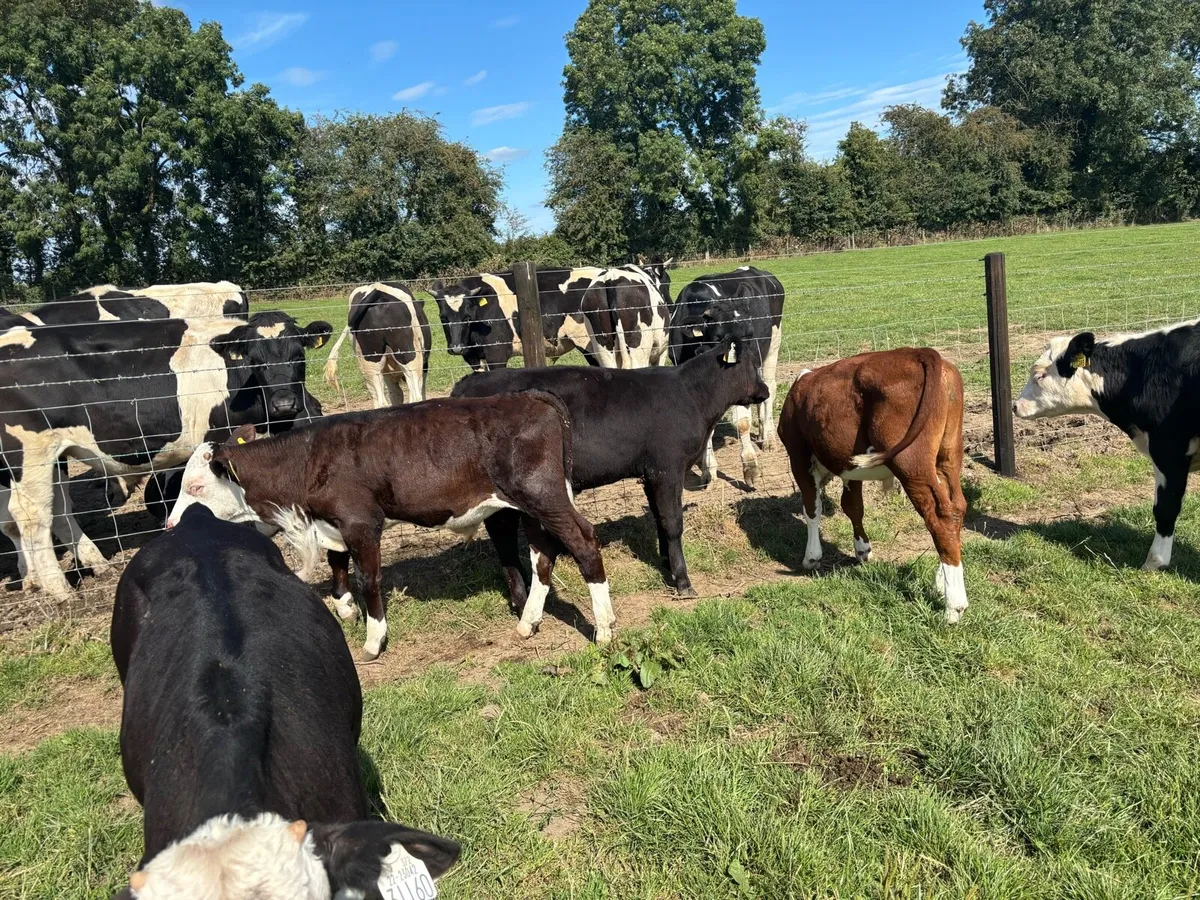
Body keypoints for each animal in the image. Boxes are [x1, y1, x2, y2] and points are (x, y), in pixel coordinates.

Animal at [0, 310, 331, 598]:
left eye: (298, 355)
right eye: (255, 359)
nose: (285, 403)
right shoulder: (215, 436)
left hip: (56, 456)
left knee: (58, 509)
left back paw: (96, 564)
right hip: (31, 453)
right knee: (32, 516)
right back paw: (59, 590)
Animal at [165, 393, 615, 659]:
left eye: (196, 485)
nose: (171, 524)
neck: (306, 462)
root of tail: (531, 396)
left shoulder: (361, 522)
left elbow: (369, 579)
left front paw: (372, 638)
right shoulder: (335, 522)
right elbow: (338, 564)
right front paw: (345, 607)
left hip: (544, 495)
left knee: (583, 541)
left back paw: (606, 630)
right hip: (529, 503)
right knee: (543, 554)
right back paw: (528, 623)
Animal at [452, 326, 768, 604]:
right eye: (754, 364)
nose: (765, 391)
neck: (692, 394)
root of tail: (467, 383)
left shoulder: (649, 473)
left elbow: (658, 518)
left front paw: (665, 562)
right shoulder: (667, 469)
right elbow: (672, 523)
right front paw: (682, 581)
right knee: (503, 535)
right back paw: (521, 599)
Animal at [669, 266, 785, 489]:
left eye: (749, 334)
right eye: (718, 338)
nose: (748, 363)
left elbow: (743, 422)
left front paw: (750, 468)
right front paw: (708, 471)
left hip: (773, 344)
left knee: (770, 388)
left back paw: (768, 439)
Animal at [778, 348, 969, 622]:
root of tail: (918, 352)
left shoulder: (798, 456)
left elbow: (811, 507)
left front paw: (811, 557)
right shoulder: (849, 467)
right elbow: (853, 506)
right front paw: (862, 549)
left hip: (911, 461)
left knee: (939, 515)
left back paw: (954, 606)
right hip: (949, 454)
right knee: (957, 508)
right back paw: (941, 583)